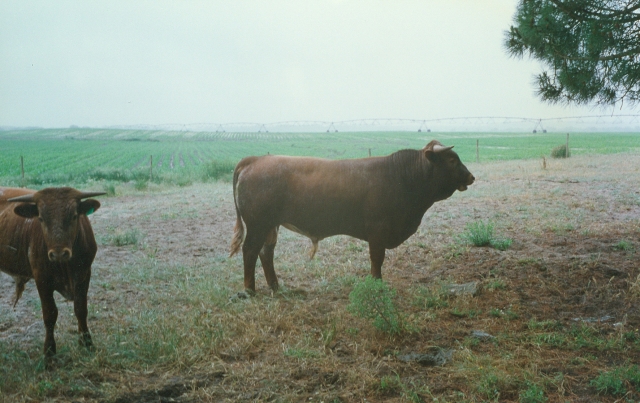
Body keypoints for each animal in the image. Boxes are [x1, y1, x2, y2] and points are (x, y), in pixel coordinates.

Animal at [0, 188, 104, 368]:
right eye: (41, 218)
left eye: (74, 216)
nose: (58, 253)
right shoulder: (41, 279)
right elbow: (50, 314)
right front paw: (49, 353)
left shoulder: (84, 275)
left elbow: (81, 309)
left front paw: (87, 343)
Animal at [230, 140, 476, 292]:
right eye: (452, 160)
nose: (471, 177)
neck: (402, 176)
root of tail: (255, 159)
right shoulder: (377, 231)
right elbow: (377, 259)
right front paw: (377, 284)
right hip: (258, 224)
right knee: (250, 251)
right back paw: (249, 289)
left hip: (271, 225)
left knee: (266, 252)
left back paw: (275, 286)